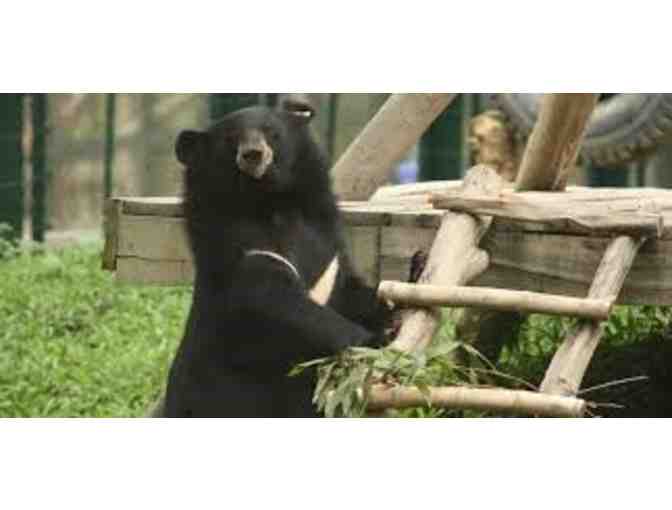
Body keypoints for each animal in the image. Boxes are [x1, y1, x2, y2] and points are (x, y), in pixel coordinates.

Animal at [160, 97, 393, 418]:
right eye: (231, 138)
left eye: (271, 132)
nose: (253, 154)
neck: (269, 202)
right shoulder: (241, 248)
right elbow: (276, 300)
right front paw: (371, 340)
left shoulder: (328, 251)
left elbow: (351, 289)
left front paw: (391, 312)